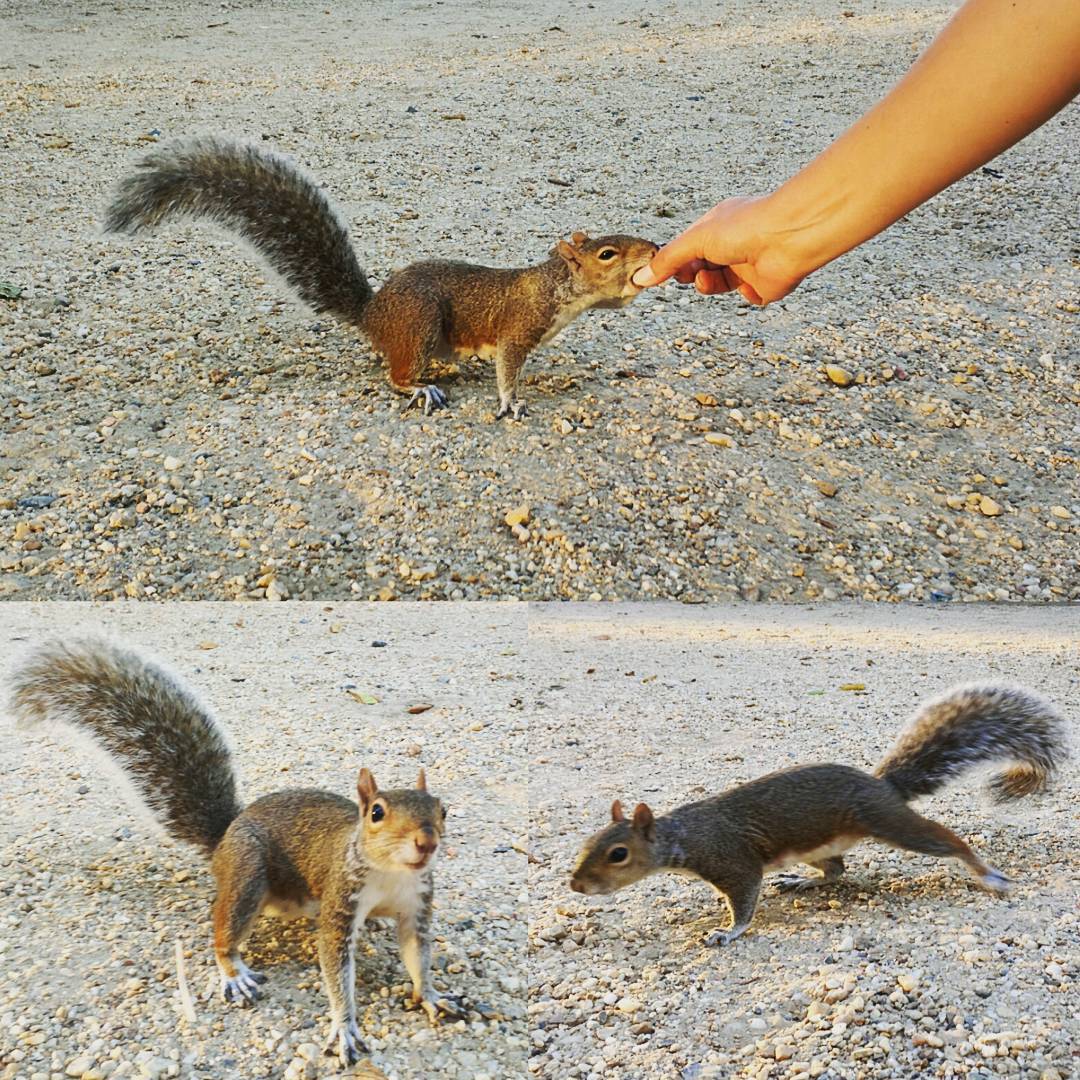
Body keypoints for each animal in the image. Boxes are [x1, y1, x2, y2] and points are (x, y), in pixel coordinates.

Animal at [8, 637, 462, 1067]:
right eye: (376, 813)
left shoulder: (417, 905)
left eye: (443, 809)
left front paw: (432, 995)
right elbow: (336, 971)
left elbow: (417, 955)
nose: (427, 842)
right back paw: (234, 973)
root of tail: (225, 838)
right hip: (247, 875)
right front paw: (345, 1026)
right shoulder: (340, 903)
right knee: (225, 930)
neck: (391, 874)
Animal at [102, 136, 658, 420]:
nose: (654, 250)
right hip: (419, 324)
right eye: (607, 253)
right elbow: (507, 371)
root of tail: (374, 315)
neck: (553, 288)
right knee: (396, 375)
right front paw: (511, 403)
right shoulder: (517, 330)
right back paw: (422, 388)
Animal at [569, 683, 1067, 946]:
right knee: (836, 871)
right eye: (586, 843)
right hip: (822, 847)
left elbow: (744, 902)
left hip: (889, 822)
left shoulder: (733, 861)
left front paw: (728, 933)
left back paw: (987, 874)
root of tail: (881, 786)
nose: (576, 885)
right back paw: (802, 881)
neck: (683, 835)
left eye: (618, 854)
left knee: (948, 841)